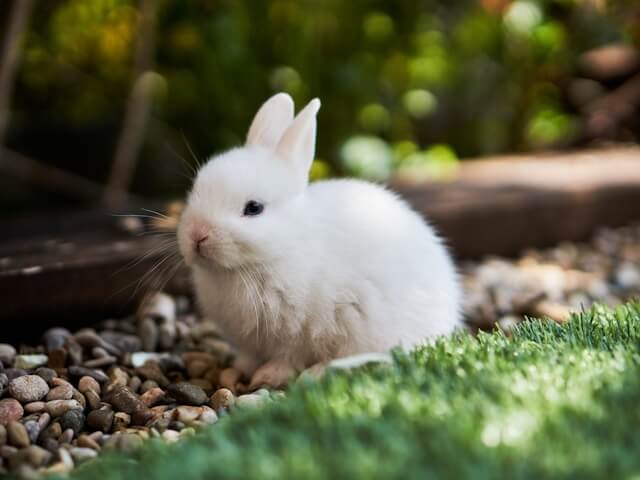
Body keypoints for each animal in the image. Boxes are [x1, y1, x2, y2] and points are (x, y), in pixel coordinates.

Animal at [177, 93, 461, 390]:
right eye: (196, 190)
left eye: (254, 208)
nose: (197, 235)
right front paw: (240, 369)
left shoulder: (298, 333)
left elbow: (288, 357)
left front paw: (268, 376)